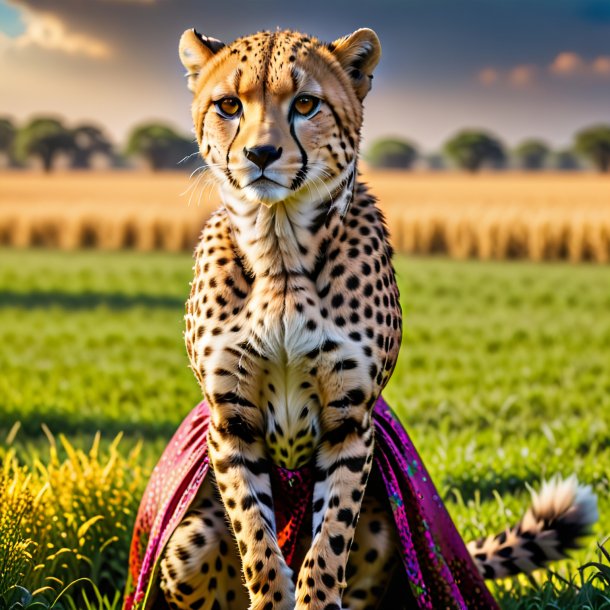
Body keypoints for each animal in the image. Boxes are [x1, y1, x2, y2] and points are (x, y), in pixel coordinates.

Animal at [153, 25, 600, 608]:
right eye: (229, 104)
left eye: (305, 104)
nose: (261, 153)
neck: (280, 251)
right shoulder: (232, 422)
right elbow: (257, 541)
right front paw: (274, 589)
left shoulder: (350, 421)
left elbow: (328, 545)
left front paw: (315, 597)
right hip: (186, 545)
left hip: (387, 530)